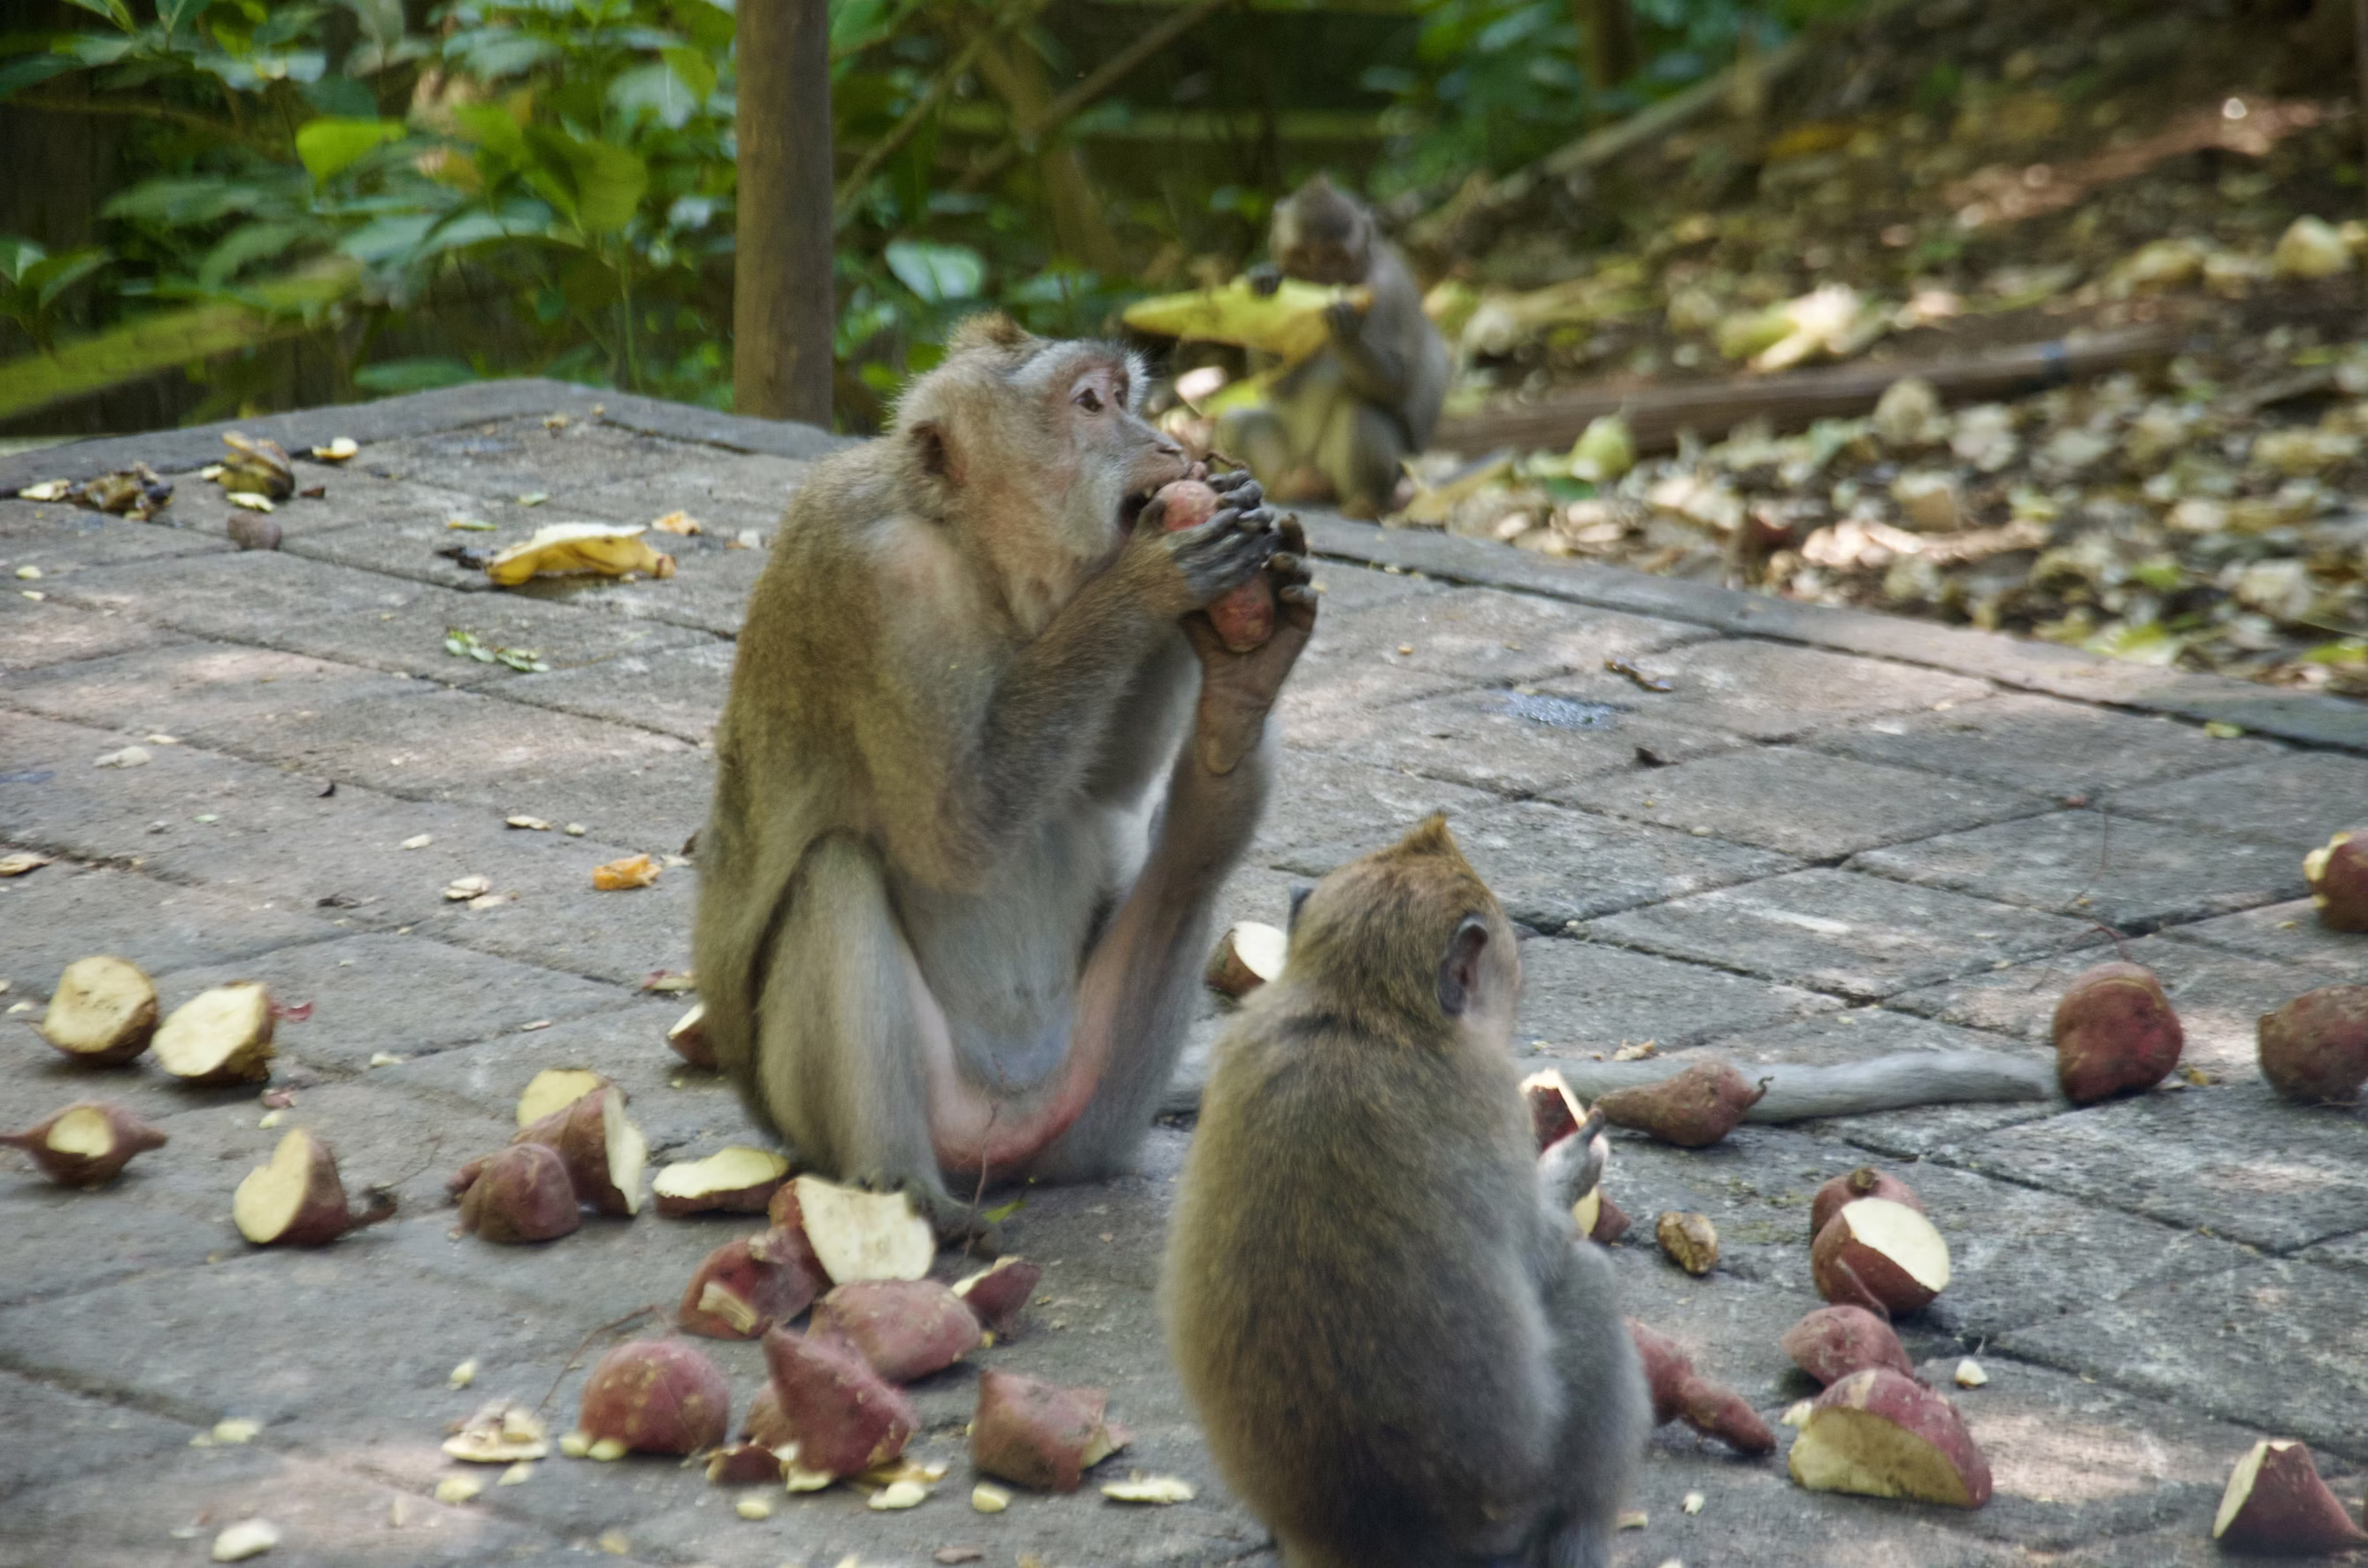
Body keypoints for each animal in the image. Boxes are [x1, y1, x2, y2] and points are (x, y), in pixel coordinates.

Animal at [691, 312, 1319, 1235]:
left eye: (1125, 396)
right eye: (1091, 404)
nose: (1168, 445)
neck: (975, 555)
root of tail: (1004, 1148)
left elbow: (1108, 789)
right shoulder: (880, 580)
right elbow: (955, 834)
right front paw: (1152, 578)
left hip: (1091, 1114)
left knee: (1190, 869)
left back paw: (1239, 705)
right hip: (873, 1116)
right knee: (833, 872)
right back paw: (902, 1187)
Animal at [1163, 815, 1649, 1568]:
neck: (1358, 1004)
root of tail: (1371, 1541)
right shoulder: (1486, 1096)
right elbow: (1541, 1254)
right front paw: (1569, 1167)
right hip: (1518, 1505)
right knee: (1587, 1283)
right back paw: (1578, 1538)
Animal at [1218, 174, 1452, 520]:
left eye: (1336, 258)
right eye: (1301, 256)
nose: (1320, 279)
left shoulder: (1390, 290)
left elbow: (1398, 384)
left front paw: (1345, 328)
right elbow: (1279, 387)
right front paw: (1265, 279)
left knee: (1361, 413)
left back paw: (1364, 503)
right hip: (1295, 458)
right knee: (1234, 422)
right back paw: (1282, 487)